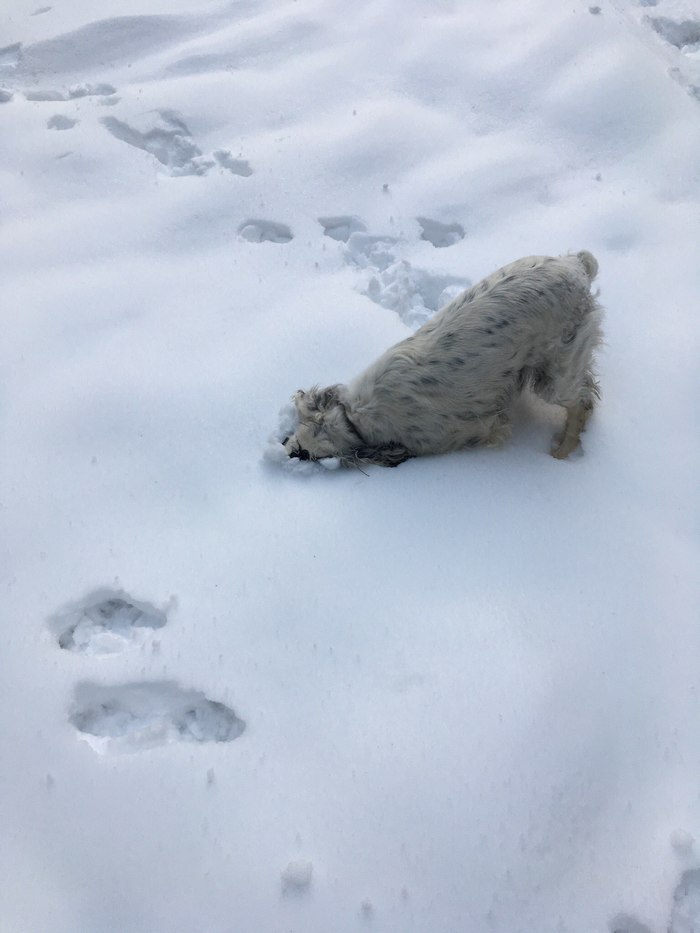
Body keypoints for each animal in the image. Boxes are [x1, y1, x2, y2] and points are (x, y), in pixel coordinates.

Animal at [284, 251, 600, 466]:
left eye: (306, 454)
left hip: (557, 372)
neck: (354, 418)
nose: (287, 450)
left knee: (582, 401)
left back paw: (562, 450)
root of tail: (576, 264)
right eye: (291, 436)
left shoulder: (473, 429)